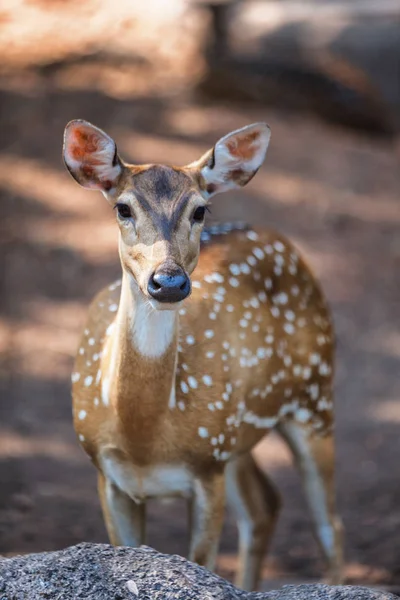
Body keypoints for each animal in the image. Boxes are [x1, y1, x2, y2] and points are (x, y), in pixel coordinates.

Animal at [63, 118, 344, 592]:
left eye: (199, 211)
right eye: (122, 208)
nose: (169, 282)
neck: (144, 438)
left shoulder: (207, 468)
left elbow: (202, 565)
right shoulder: (107, 473)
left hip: (314, 396)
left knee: (329, 526)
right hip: (238, 436)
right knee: (265, 505)